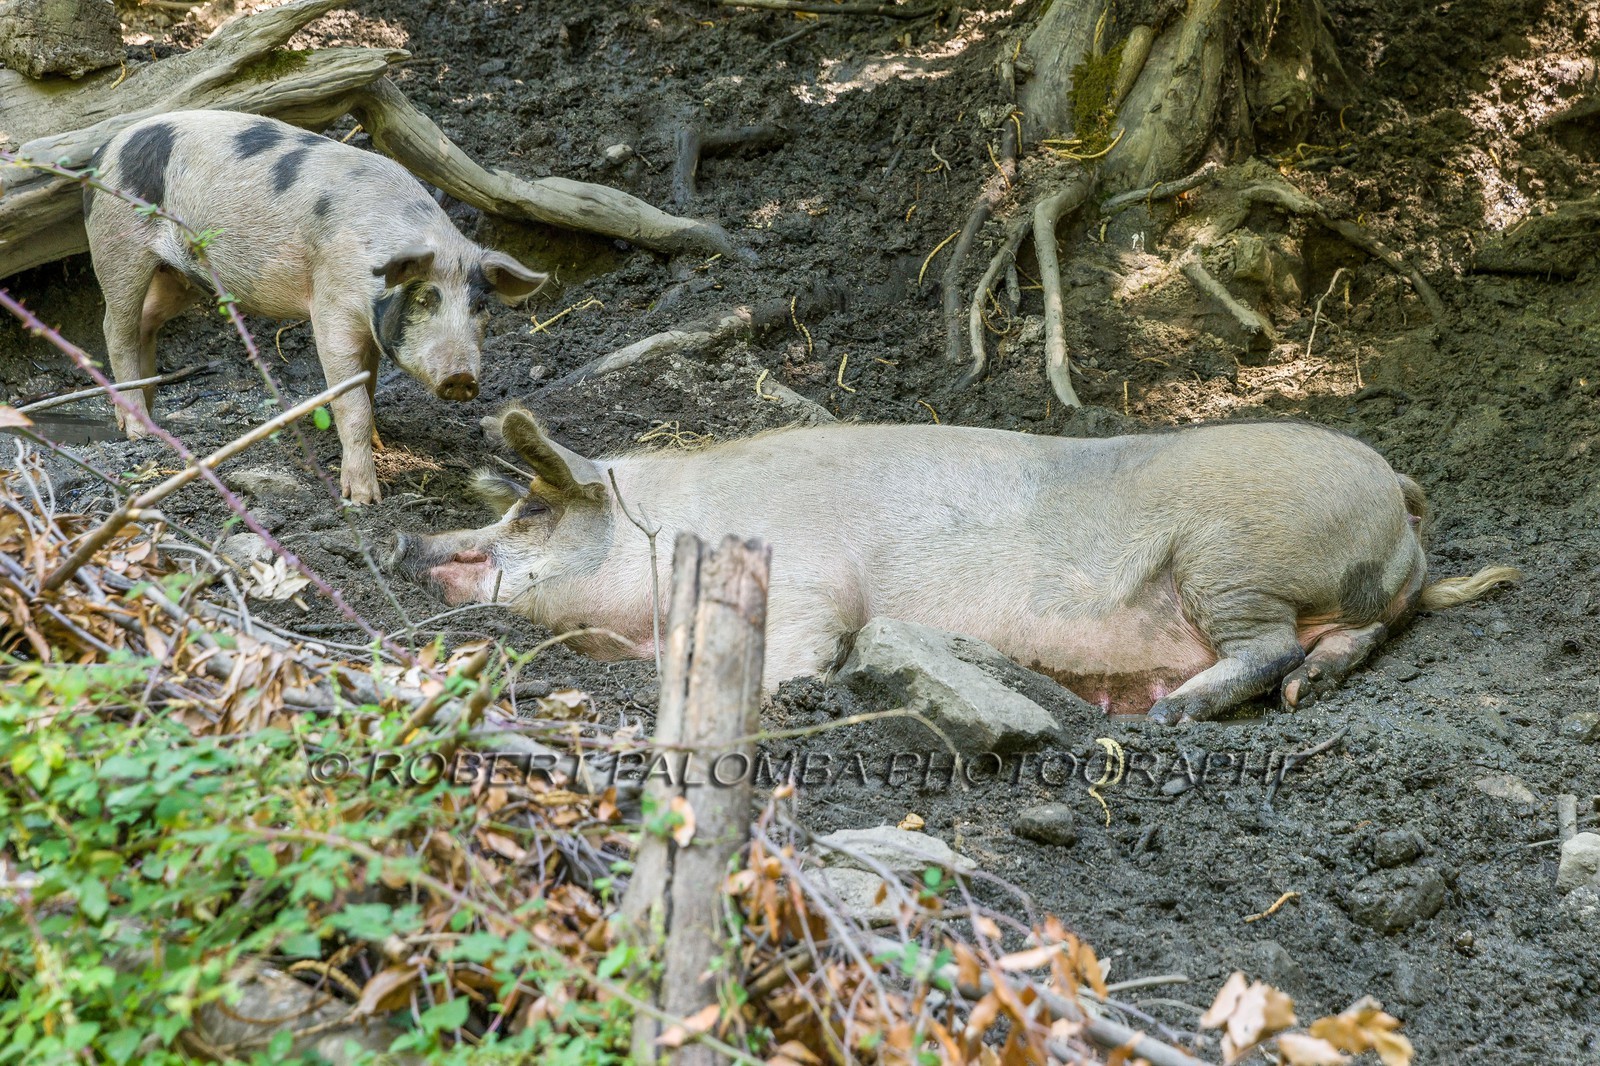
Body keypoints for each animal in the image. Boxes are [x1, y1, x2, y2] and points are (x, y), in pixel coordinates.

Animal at [83, 110, 547, 503]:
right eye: (424, 297)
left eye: (480, 306)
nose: (461, 377)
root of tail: (105, 150)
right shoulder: (331, 307)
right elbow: (350, 401)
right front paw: (364, 499)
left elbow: (369, 387)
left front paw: (379, 441)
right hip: (118, 244)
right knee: (115, 329)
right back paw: (137, 431)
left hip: (180, 275)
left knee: (145, 322)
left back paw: (152, 411)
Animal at [390, 409, 1520, 723]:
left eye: (533, 509)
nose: (408, 544)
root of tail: (1394, 486)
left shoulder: (808, 584)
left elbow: (797, 654)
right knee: (1349, 638)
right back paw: (1302, 694)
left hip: (1230, 555)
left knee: (1265, 644)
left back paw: (1171, 714)